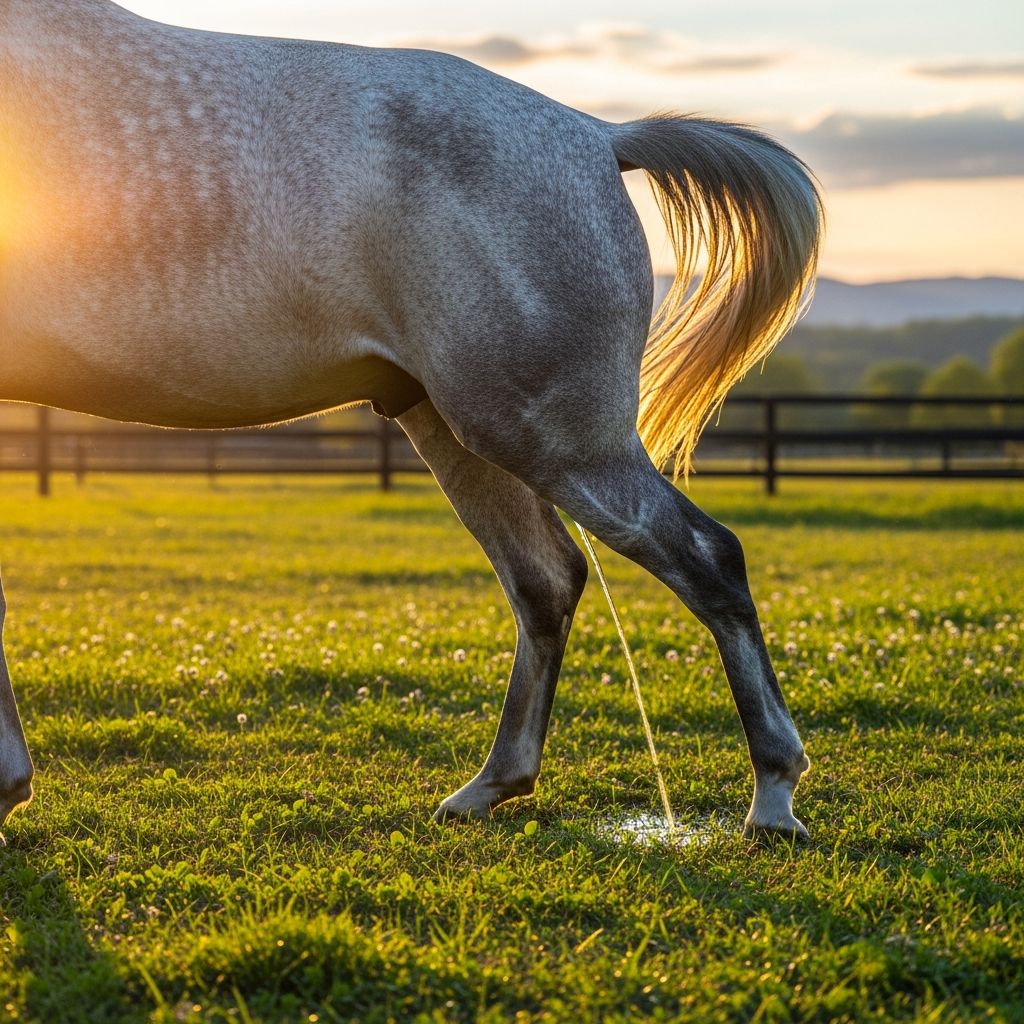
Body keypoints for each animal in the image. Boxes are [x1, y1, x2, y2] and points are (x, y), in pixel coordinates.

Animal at [0, 0, 822, 839]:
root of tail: (597, 135)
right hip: (460, 432)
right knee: (547, 581)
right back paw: (493, 784)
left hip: (554, 439)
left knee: (707, 558)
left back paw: (773, 794)